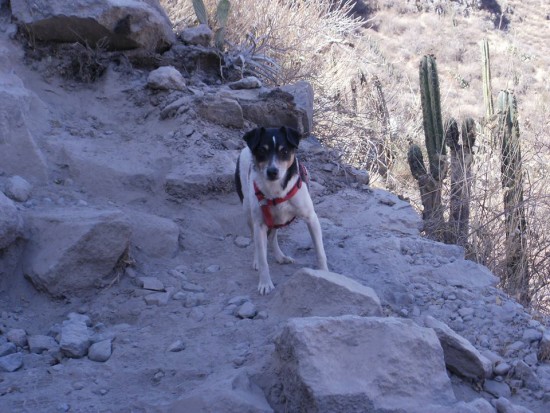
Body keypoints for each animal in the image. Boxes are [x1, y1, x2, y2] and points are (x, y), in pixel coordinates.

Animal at [236, 125, 330, 292]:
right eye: (262, 150)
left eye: (284, 151)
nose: (272, 171)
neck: (276, 191)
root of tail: (245, 149)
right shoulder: (260, 224)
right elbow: (263, 259)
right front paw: (265, 283)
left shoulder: (311, 218)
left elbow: (320, 251)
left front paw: (324, 273)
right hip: (248, 212)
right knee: (256, 239)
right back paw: (256, 260)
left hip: (277, 219)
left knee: (273, 237)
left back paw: (280, 257)